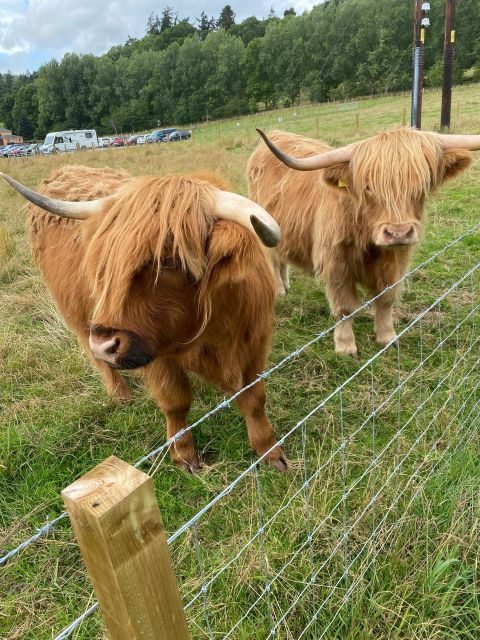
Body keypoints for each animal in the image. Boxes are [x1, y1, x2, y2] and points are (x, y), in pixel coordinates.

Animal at [1, 166, 286, 470]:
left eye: (170, 260)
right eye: (106, 262)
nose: (104, 345)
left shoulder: (254, 341)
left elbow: (254, 398)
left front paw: (270, 452)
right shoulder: (156, 355)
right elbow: (175, 402)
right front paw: (184, 454)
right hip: (78, 319)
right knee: (97, 360)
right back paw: (121, 395)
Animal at [249, 127, 478, 358]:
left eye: (422, 185)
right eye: (368, 188)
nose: (398, 233)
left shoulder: (397, 263)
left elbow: (386, 300)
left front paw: (387, 337)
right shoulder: (336, 264)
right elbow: (345, 308)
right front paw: (345, 346)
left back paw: (286, 285)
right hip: (265, 227)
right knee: (273, 260)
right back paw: (280, 291)